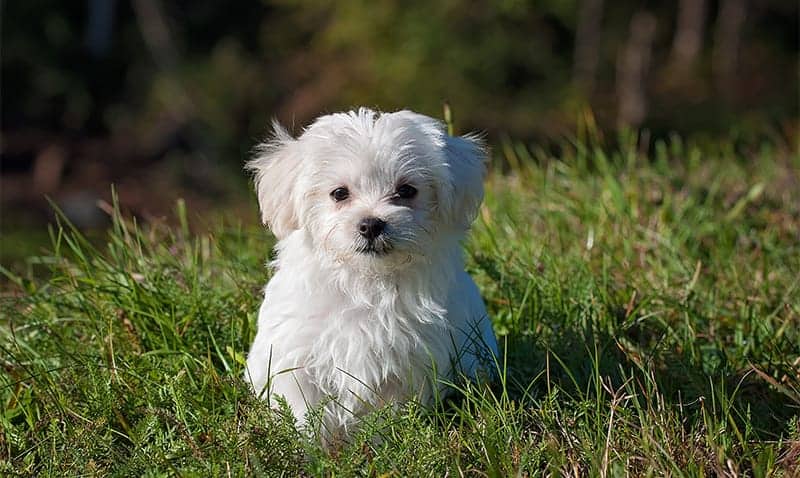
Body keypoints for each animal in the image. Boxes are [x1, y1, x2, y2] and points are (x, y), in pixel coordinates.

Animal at [244, 107, 496, 440]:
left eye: (406, 191)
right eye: (339, 193)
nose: (371, 224)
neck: (365, 281)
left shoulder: (407, 364)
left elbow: (389, 413)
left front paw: (383, 443)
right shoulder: (296, 357)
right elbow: (304, 411)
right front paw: (309, 447)